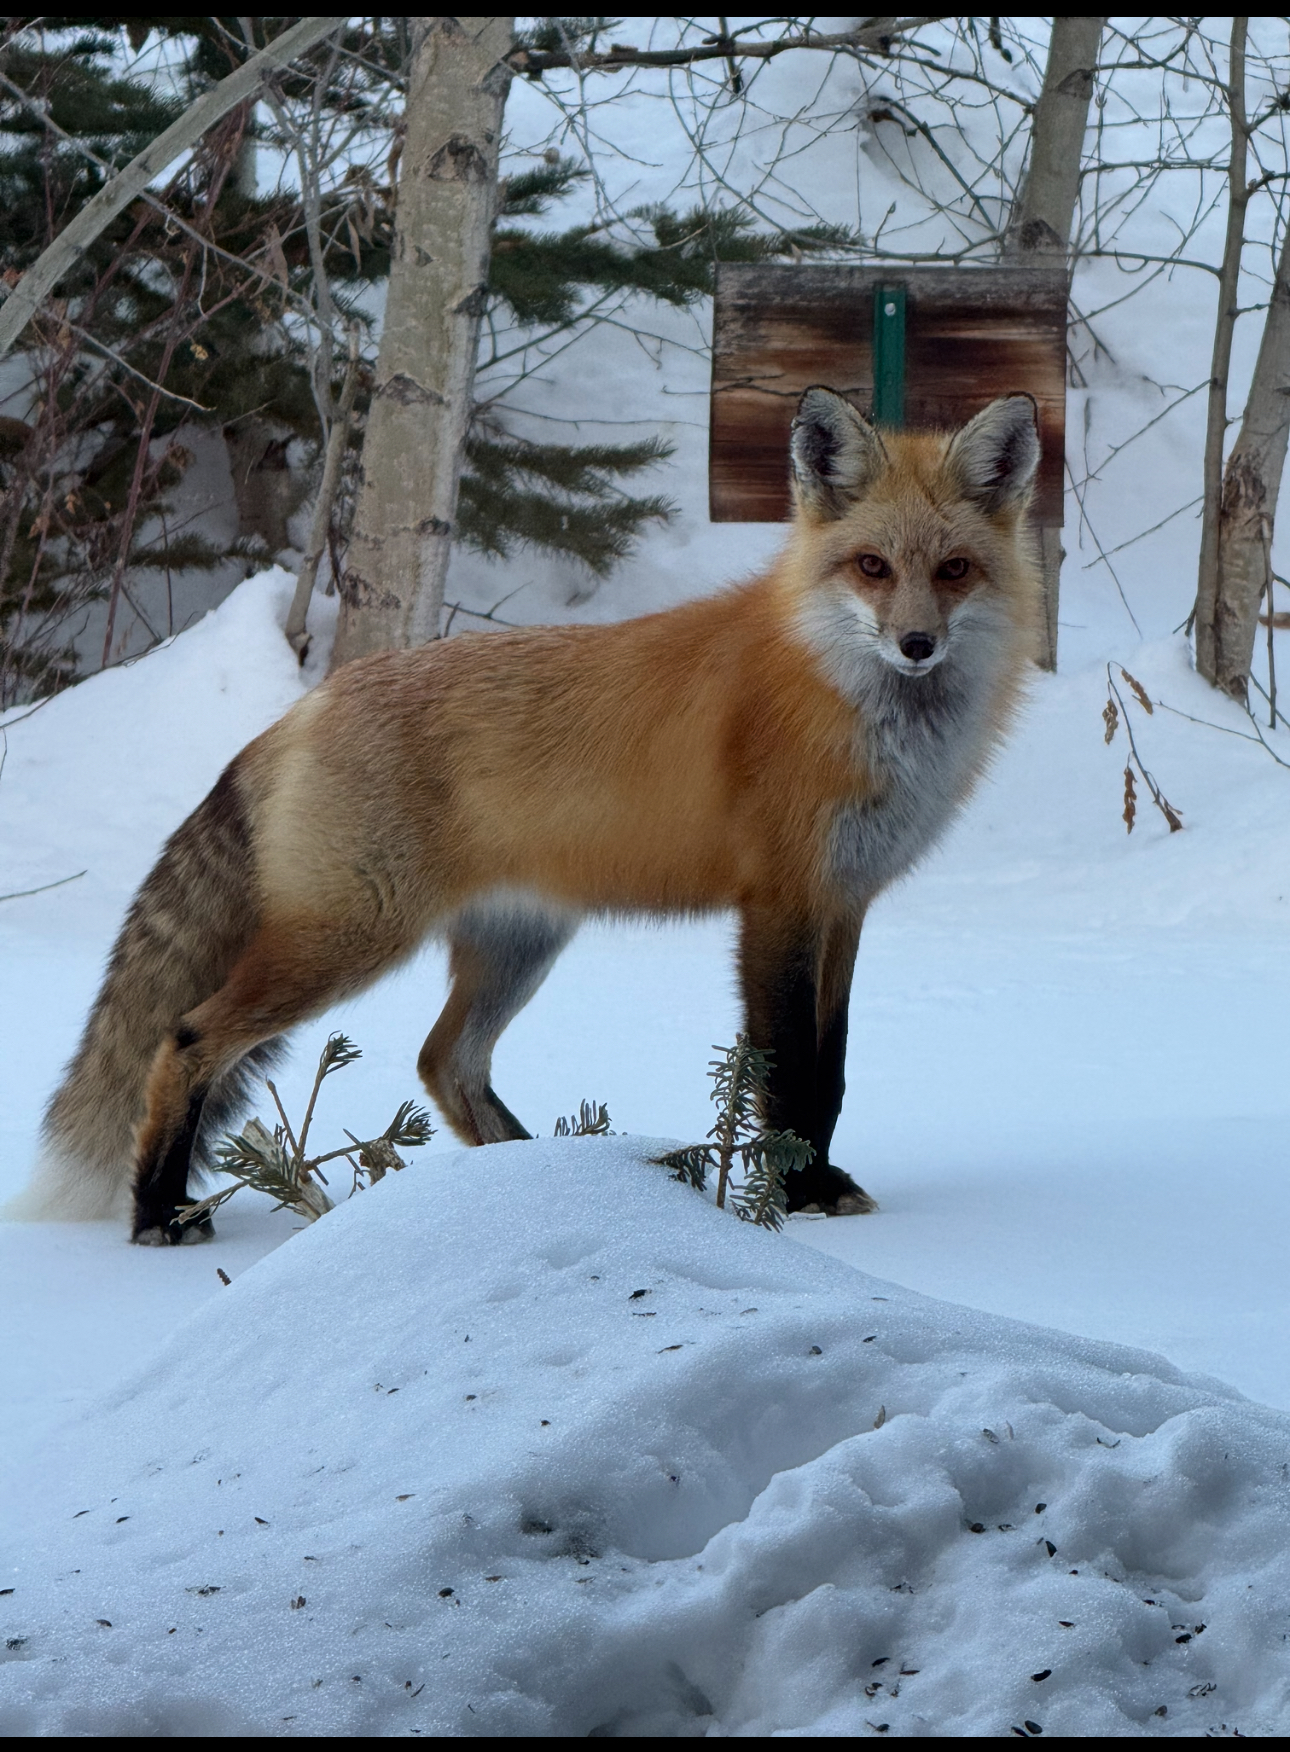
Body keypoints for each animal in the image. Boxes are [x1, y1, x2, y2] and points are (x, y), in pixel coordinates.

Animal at [13, 386, 1041, 1243]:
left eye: (954, 570)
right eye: (872, 567)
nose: (917, 644)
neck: (847, 701)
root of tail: (305, 708)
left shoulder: (845, 902)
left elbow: (830, 1073)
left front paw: (820, 1186)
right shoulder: (781, 904)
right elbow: (788, 1071)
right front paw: (800, 1199)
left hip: (517, 942)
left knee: (444, 1063)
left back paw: (537, 1179)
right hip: (352, 939)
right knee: (188, 1038)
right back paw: (158, 1212)